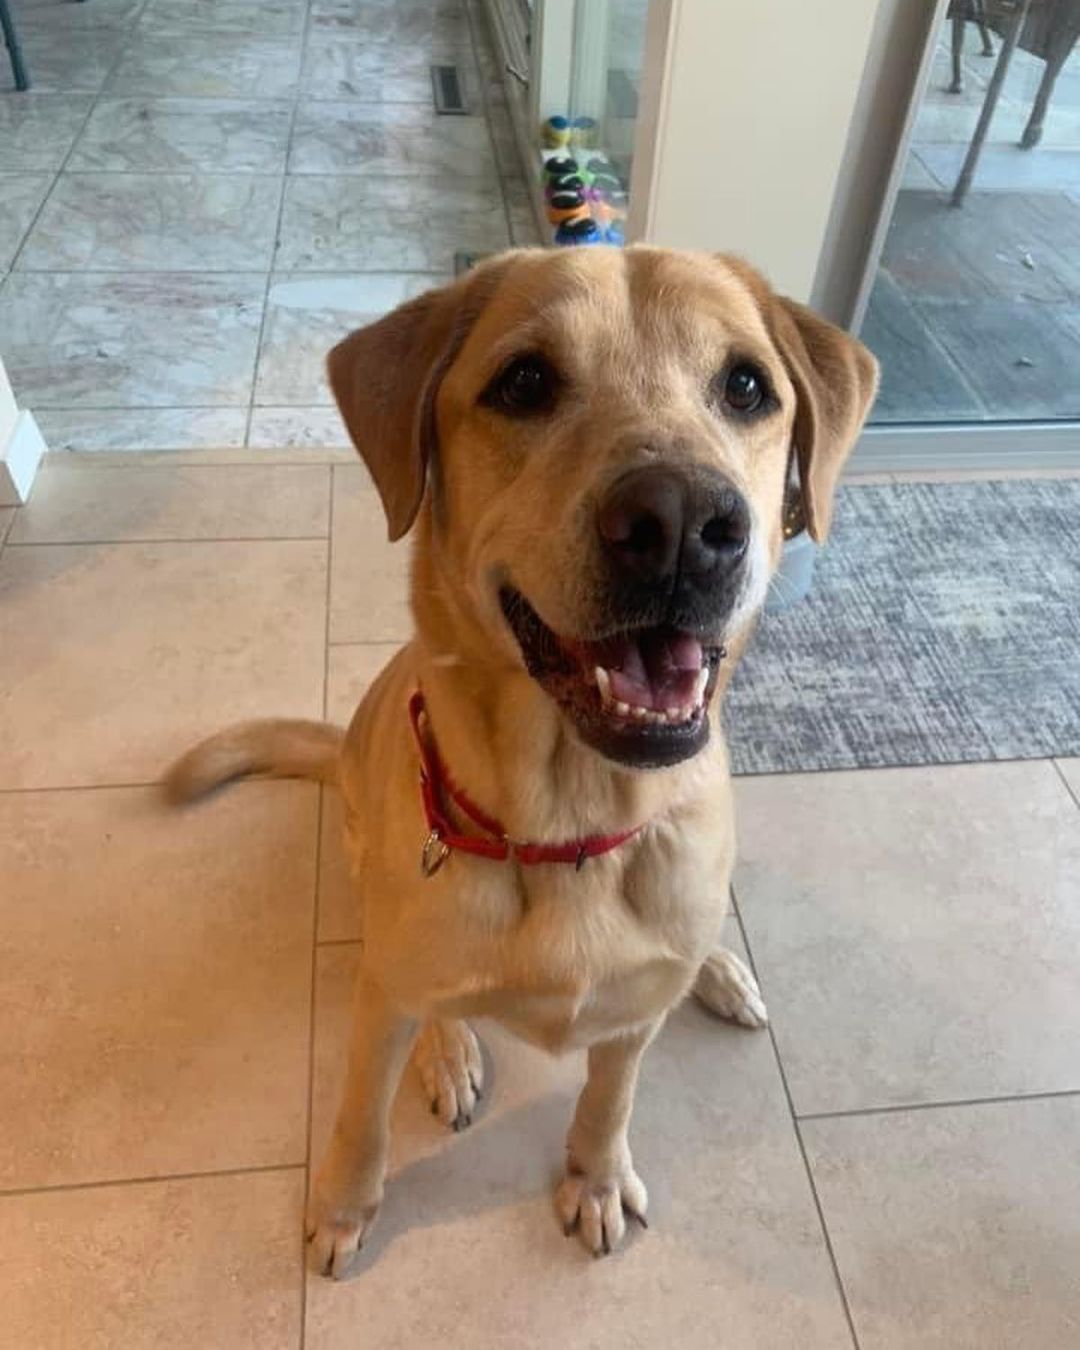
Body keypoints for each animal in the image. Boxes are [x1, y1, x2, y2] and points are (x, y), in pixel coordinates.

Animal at [166, 248, 874, 1269]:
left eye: (746, 386)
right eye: (526, 382)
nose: (682, 521)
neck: (570, 825)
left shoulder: (632, 1020)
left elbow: (609, 1100)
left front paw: (596, 1178)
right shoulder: (382, 1003)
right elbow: (359, 1116)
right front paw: (344, 1207)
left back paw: (717, 969)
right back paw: (453, 1050)